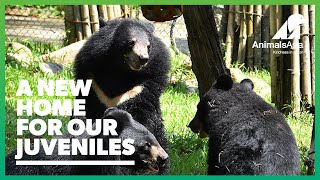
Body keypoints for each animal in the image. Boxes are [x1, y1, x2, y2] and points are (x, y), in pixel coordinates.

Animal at [74, 17, 171, 174]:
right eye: (131, 42)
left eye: (148, 46)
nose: (143, 58)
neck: (121, 72)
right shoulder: (93, 84)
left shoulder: (142, 90)